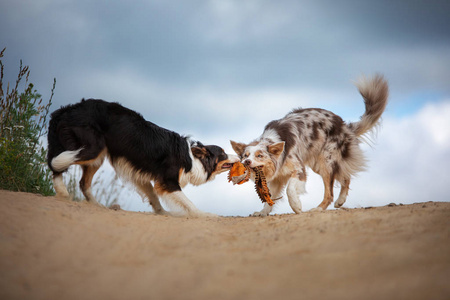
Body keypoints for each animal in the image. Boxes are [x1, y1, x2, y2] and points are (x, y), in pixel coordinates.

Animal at [48, 99, 239, 217]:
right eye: (222, 153)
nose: (239, 155)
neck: (193, 158)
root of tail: (65, 110)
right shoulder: (168, 180)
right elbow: (188, 202)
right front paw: (205, 215)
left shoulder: (141, 175)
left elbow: (153, 195)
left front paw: (162, 212)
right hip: (91, 148)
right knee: (55, 163)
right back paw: (63, 192)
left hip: (97, 157)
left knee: (83, 182)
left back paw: (96, 205)